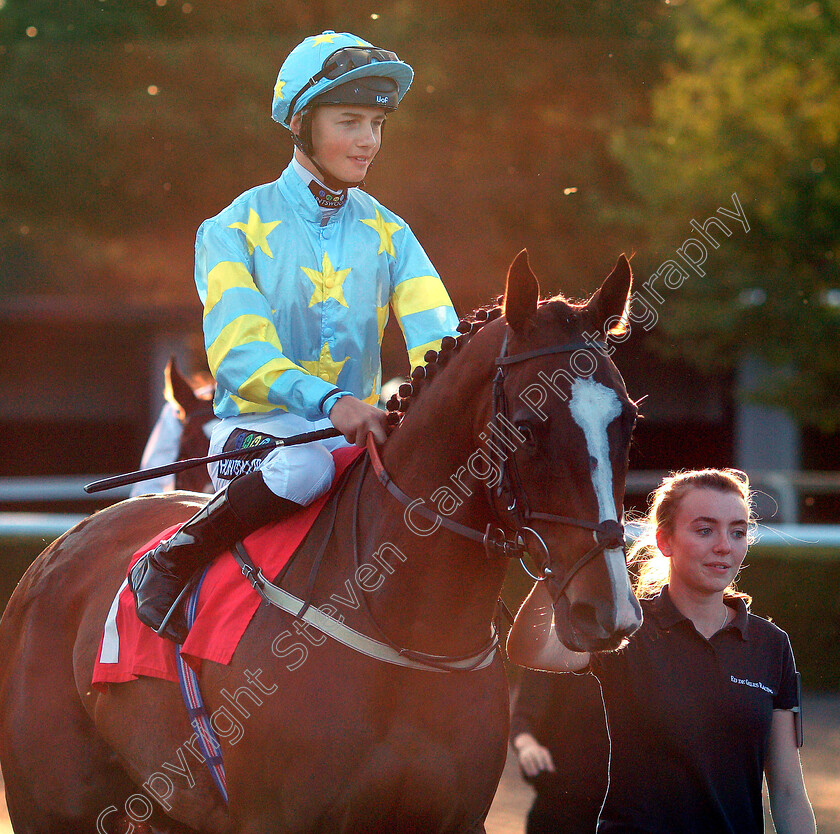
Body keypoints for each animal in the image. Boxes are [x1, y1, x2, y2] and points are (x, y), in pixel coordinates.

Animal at [0, 252, 640, 832]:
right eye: (529, 423)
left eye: (628, 420)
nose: (606, 609)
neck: (408, 630)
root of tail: (53, 557)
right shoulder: (278, 820)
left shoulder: (455, 818)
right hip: (52, 806)